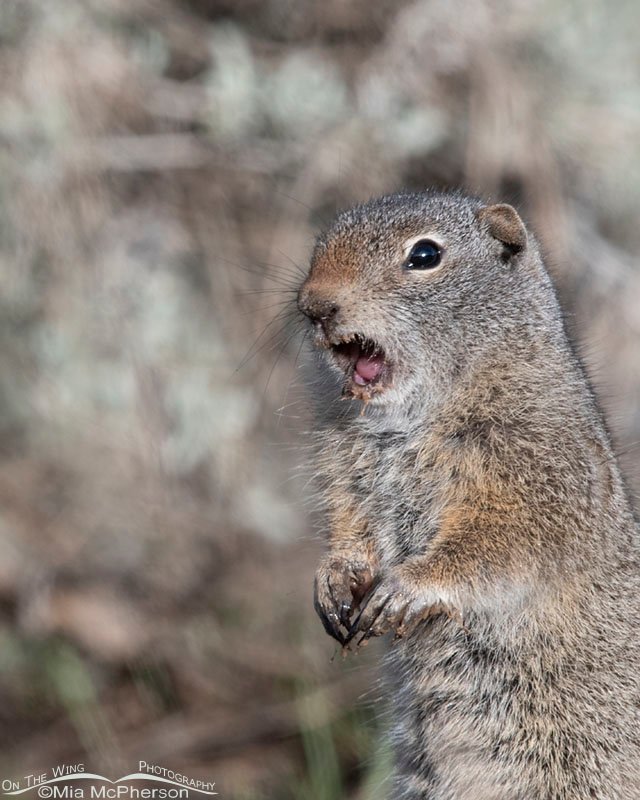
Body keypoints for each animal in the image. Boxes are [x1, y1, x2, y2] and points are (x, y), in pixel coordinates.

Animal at [296, 190, 640, 799]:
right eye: (321, 242)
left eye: (425, 255)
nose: (314, 305)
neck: (404, 422)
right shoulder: (346, 475)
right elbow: (349, 527)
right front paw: (334, 578)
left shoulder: (537, 476)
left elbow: (494, 546)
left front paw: (405, 588)